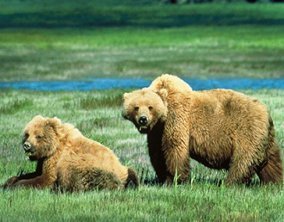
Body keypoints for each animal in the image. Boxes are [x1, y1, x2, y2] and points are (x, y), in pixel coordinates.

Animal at [3, 114, 139, 191]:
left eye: (38, 136)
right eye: (27, 134)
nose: (27, 145)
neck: (53, 148)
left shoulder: (56, 159)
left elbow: (46, 178)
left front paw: (15, 185)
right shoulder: (44, 160)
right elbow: (34, 173)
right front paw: (8, 182)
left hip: (89, 166)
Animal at [122, 74, 284, 186]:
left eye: (150, 107)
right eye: (136, 107)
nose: (143, 119)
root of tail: (266, 111)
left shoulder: (177, 118)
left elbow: (174, 148)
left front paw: (178, 179)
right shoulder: (156, 131)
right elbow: (157, 153)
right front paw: (163, 178)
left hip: (247, 129)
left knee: (243, 159)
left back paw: (229, 183)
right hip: (265, 137)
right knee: (271, 160)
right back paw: (274, 182)